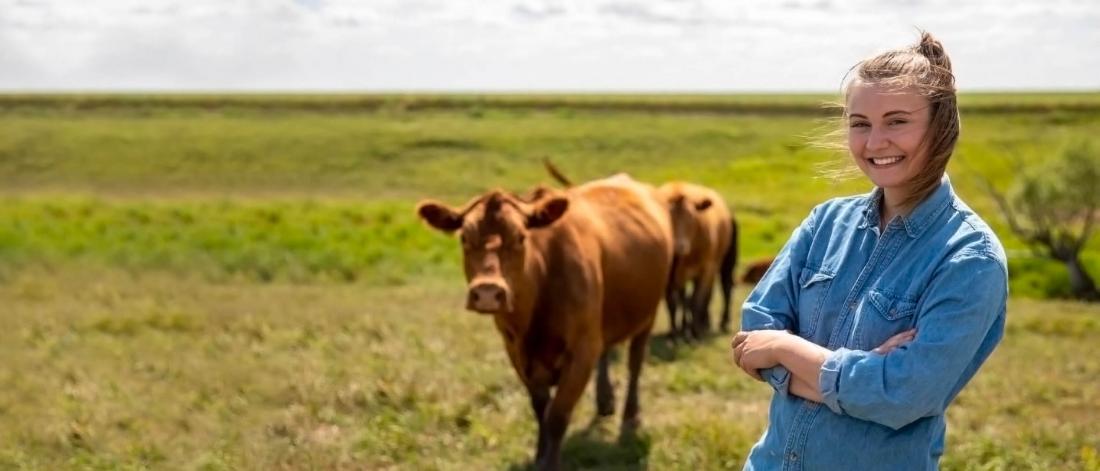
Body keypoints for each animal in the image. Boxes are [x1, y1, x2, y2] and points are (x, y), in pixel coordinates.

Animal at [413, 174, 668, 468]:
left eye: (521, 237)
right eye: (464, 237)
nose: (488, 292)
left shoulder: (582, 349)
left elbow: (557, 415)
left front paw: (551, 462)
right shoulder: (516, 351)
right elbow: (540, 408)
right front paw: (539, 454)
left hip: (646, 316)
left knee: (635, 364)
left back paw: (630, 417)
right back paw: (605, 402)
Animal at [651, 181, 739, 338]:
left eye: (691, 217)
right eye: (667, 217)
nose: (680, 245)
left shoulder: (705, 269)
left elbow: (695, 301)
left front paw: (693, 331)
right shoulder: (672, 276)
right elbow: (675, 302)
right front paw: (676, 332)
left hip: (724, 263)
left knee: (725, 287)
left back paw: (721, 322)